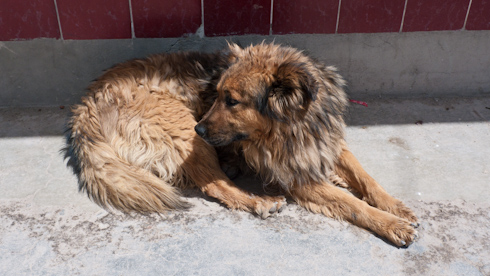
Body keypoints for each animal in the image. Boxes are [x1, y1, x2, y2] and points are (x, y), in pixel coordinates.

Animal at [66, 42, 418, 246]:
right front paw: (391, 224)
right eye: (218, 93)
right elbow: (351, 203)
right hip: (182, 130)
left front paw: (395, 206)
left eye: (232, 100)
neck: (295, 123)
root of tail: (87, 102)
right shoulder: (295, 178)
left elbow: (366, 178)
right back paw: (257, 201)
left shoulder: (327, 143)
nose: (201, 127)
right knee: (213, 184)